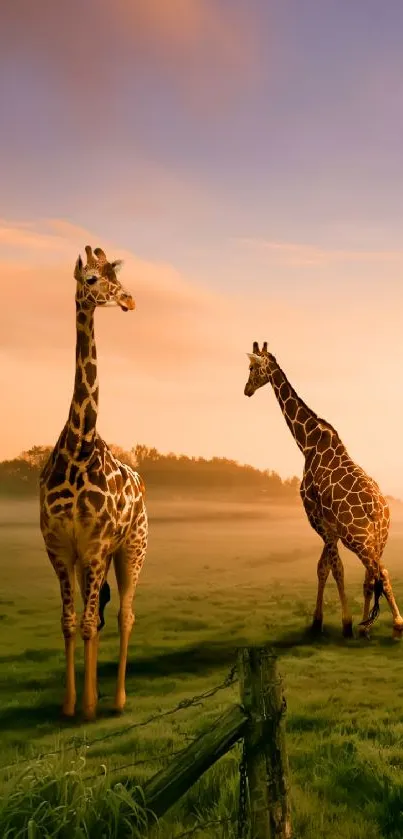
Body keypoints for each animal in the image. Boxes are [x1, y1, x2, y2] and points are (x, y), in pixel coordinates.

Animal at [243, 342, 403, 644]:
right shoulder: (329, 526)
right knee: (372, 574)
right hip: (380, 537)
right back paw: (367, 626)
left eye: (252, 367)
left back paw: (395, 626)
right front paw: (322, 622)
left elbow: (334, 568)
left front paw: (344, 623)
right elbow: (324, 567)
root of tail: (378, 510)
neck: (307, 443)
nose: (246, 389)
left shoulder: (317, 518)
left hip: (358, 537)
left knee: (381, 572)